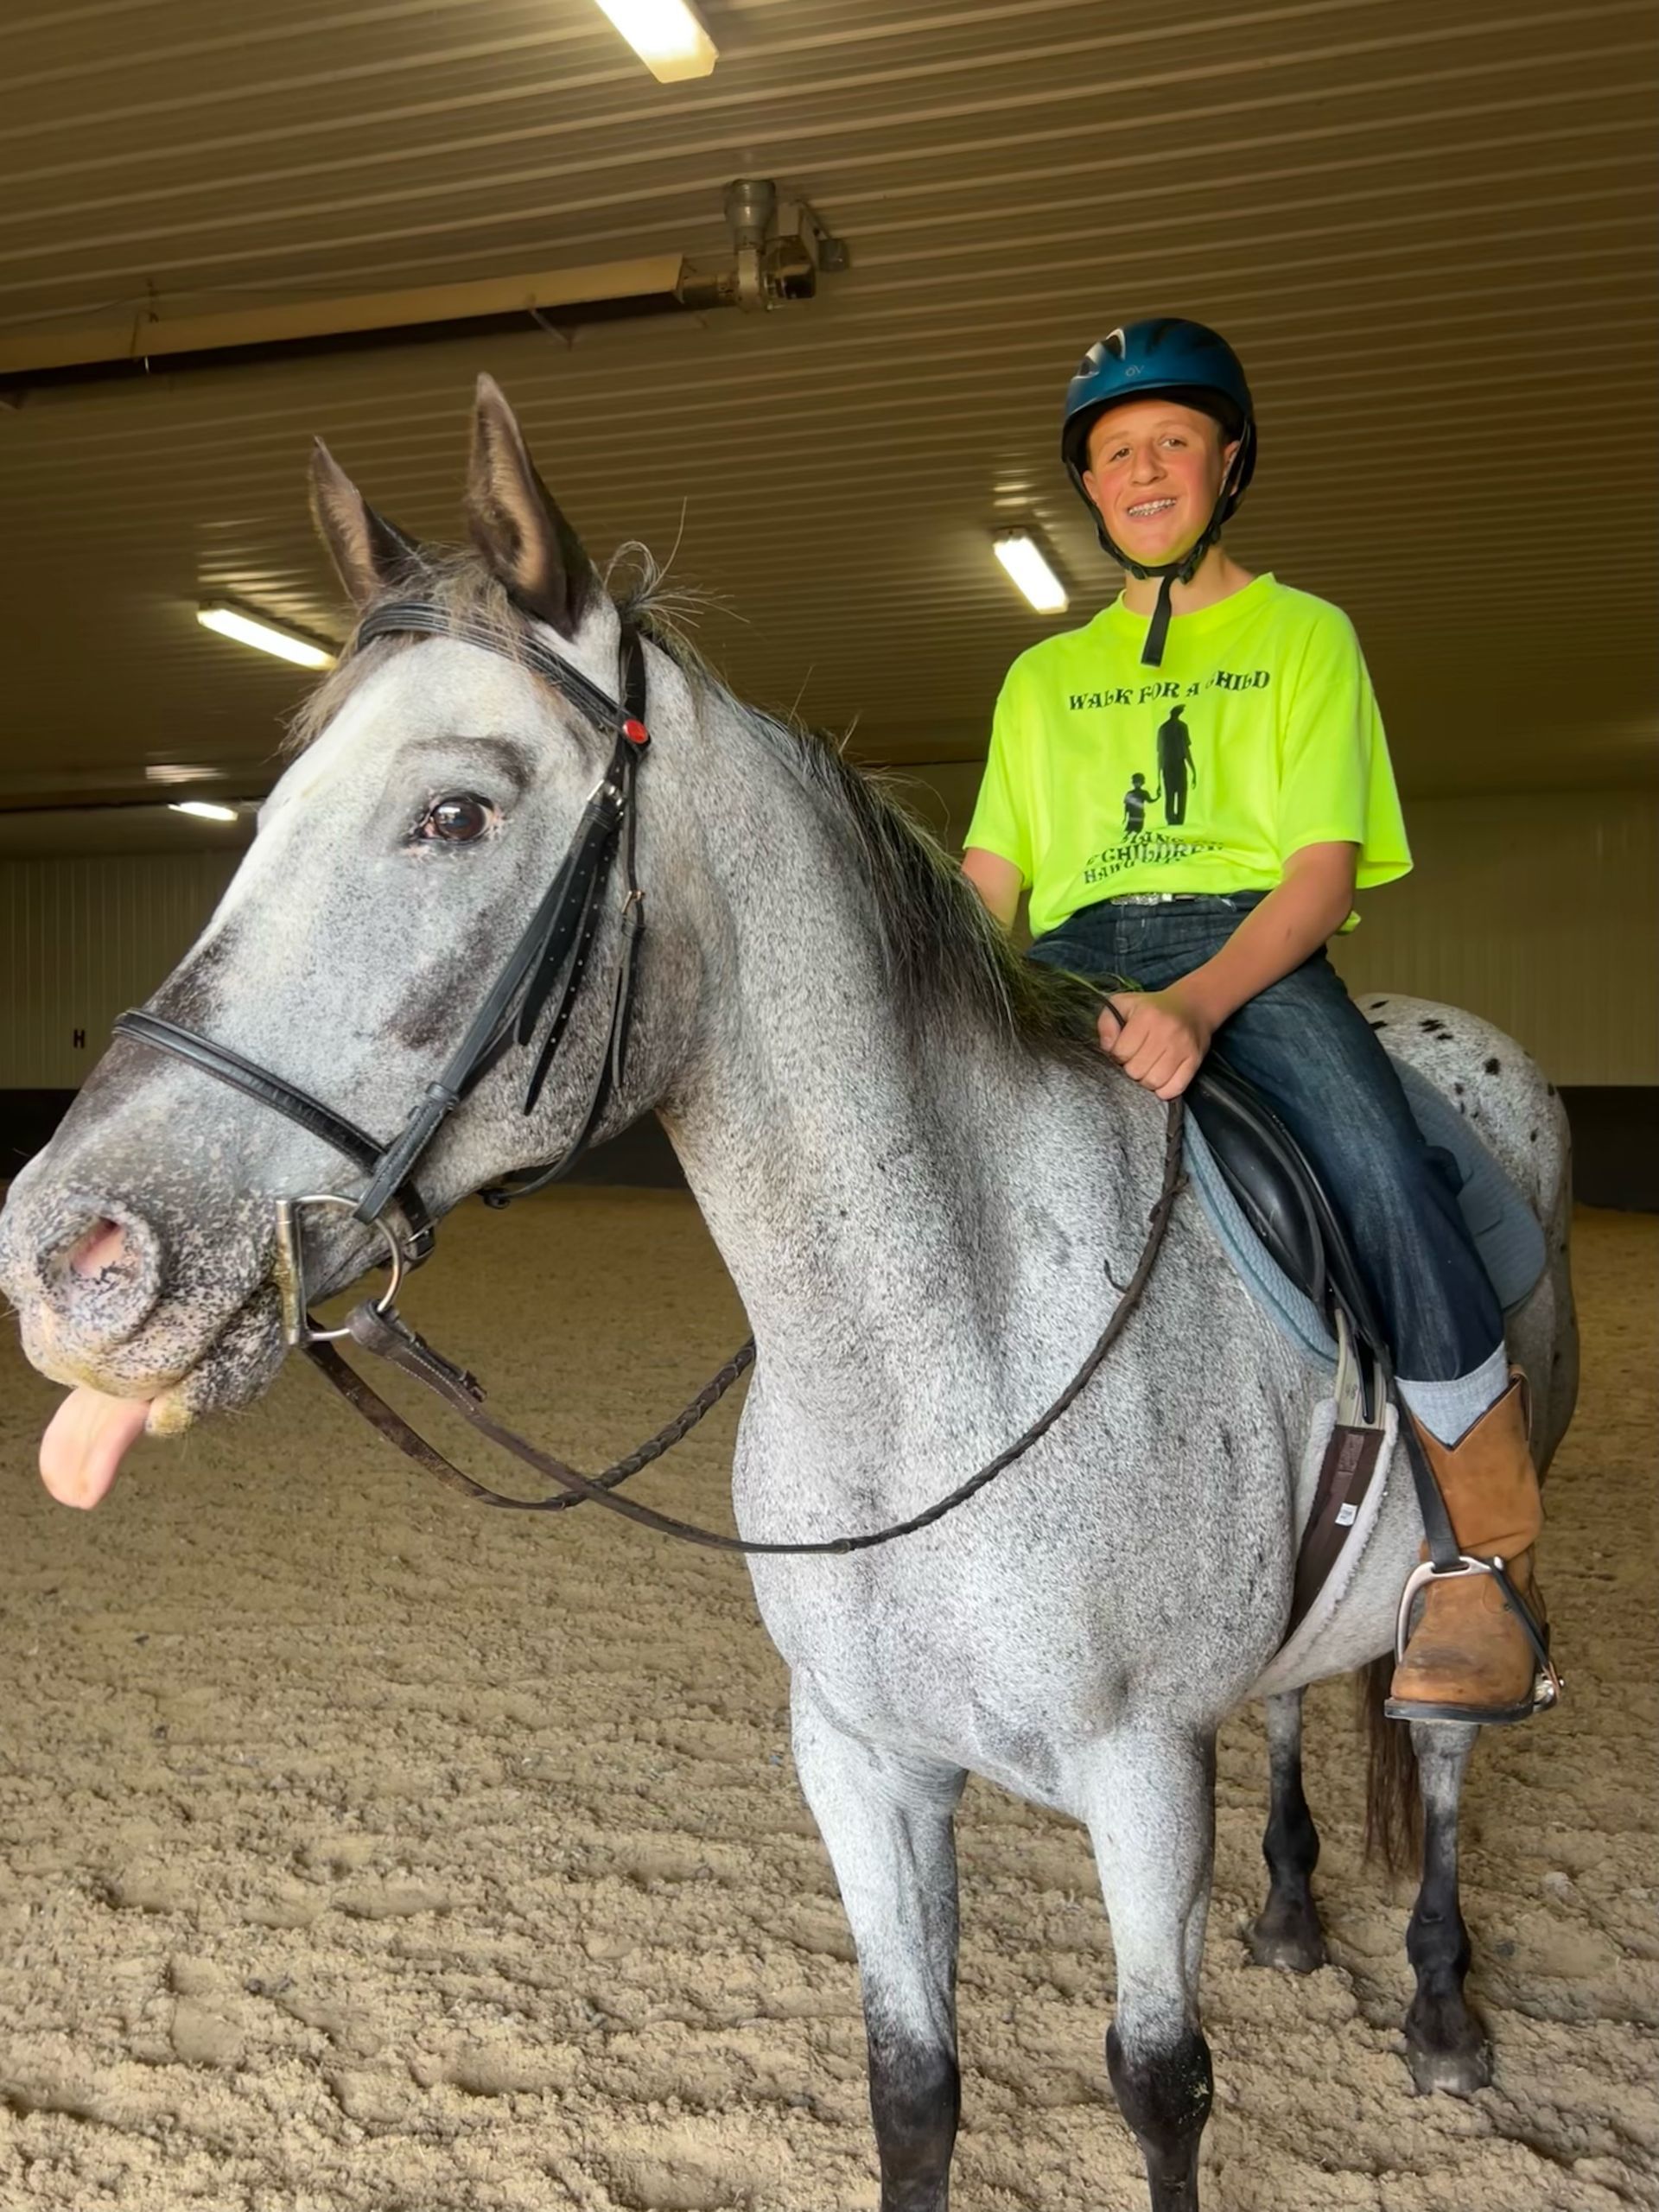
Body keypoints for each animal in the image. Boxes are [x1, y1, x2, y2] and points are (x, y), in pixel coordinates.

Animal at [0, 377, 1576, 2212]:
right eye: (257, 821)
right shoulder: (862, 1763)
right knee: (1294, 1706)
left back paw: (1446, 2011)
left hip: (1468, 1604)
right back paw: (1292, 1909)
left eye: (455, 813)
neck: (942, 1345)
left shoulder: (1138, 1779)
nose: (69, 1252)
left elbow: (1160, 2088)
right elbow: (912, 2087)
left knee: (1446, 1753)